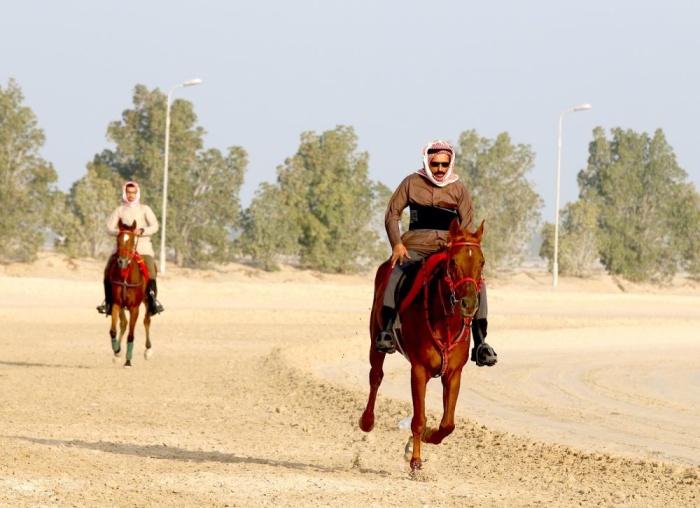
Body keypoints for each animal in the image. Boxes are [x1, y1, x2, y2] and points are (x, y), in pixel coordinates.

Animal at [107, 220, 152, 368]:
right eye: (118, 239)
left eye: (132, 240)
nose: (122, 261)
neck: (126, 277)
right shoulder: (116, 303)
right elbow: (113, 330)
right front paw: (117, 350)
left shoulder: (134, 308)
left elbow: (131, 335)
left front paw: (128, 361)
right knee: (123, 323)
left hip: (147, 301)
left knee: (147, 320)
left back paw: (148, 351)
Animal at [358, 218, 484, 472]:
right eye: (453, 262)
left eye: (482, 262)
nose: (469, 303)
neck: (445, 321)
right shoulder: (418, 370)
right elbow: (418, 419)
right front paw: (415, 460)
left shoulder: (454, 373)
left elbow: (447, 424)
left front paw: (426, 436)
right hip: (375, 338)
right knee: (375, 376)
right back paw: (366, 421)